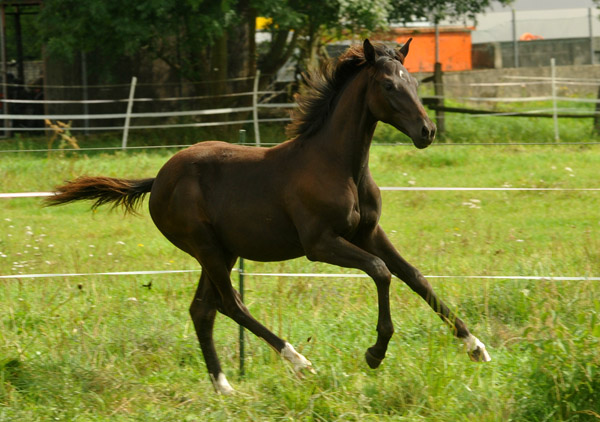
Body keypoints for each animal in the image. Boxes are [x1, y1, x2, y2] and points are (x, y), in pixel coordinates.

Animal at [45, 38, 488, 392]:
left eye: (413, 83)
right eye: (387, 85)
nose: (427, 132)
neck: (339, 164)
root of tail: (158, 179)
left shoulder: (368, 233)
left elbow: (414, 276)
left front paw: (475, 346)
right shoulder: (320, 244)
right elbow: (381, 272)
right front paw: (375, 352)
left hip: (221, 252)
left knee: (203, 310)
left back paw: (223, 386)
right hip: (206, 248)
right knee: (230, 304)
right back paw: (299, 361)